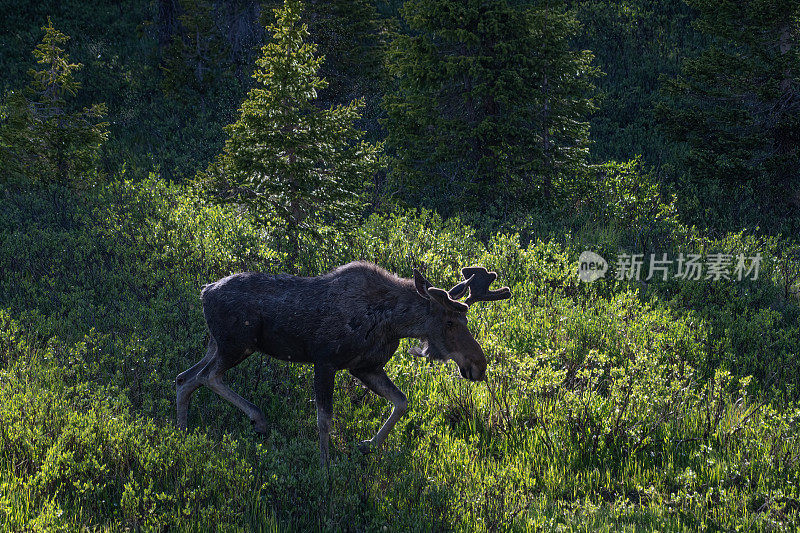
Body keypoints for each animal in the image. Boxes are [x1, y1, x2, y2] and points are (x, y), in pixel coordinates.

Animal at [177, 260, 512, 464]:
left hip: (217, 345)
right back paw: (257, 419)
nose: (479, 365)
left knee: (184, 378)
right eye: (449, 322)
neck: (392, 322)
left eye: (464, 320)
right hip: (237, 345)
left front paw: (367, 445)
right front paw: (325, 467)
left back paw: (182, 432)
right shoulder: (325, 361)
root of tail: (204, 292)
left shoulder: (365, 367)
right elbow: (324, 419)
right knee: (208, 377)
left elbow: (402, 402)